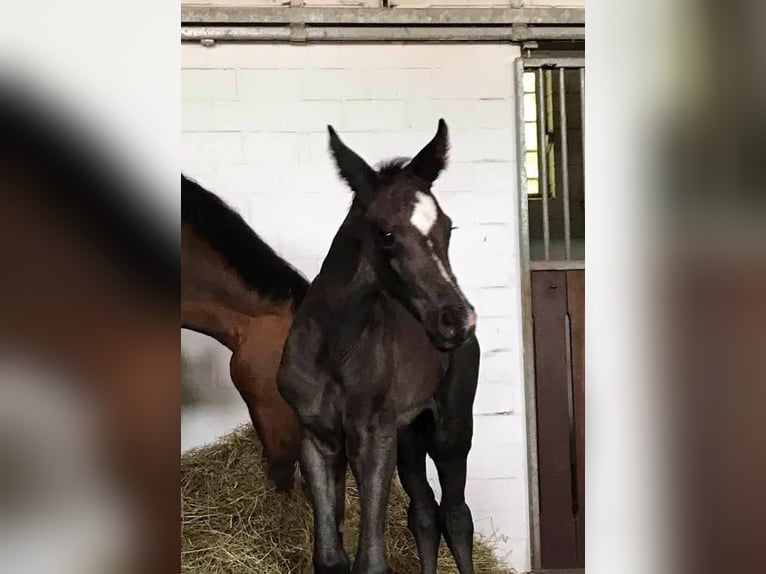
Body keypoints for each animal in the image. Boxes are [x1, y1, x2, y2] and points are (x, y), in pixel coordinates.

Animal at [276, 121, 480, 574]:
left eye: (448, 228)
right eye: (386, 234)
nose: (457, 320)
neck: (335, 349)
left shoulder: (373, 439)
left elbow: (370, 561)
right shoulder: (317, 438)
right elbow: (330, 558)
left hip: (450, 428)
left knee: (456, 515)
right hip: (409, 435)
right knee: (424, 514)